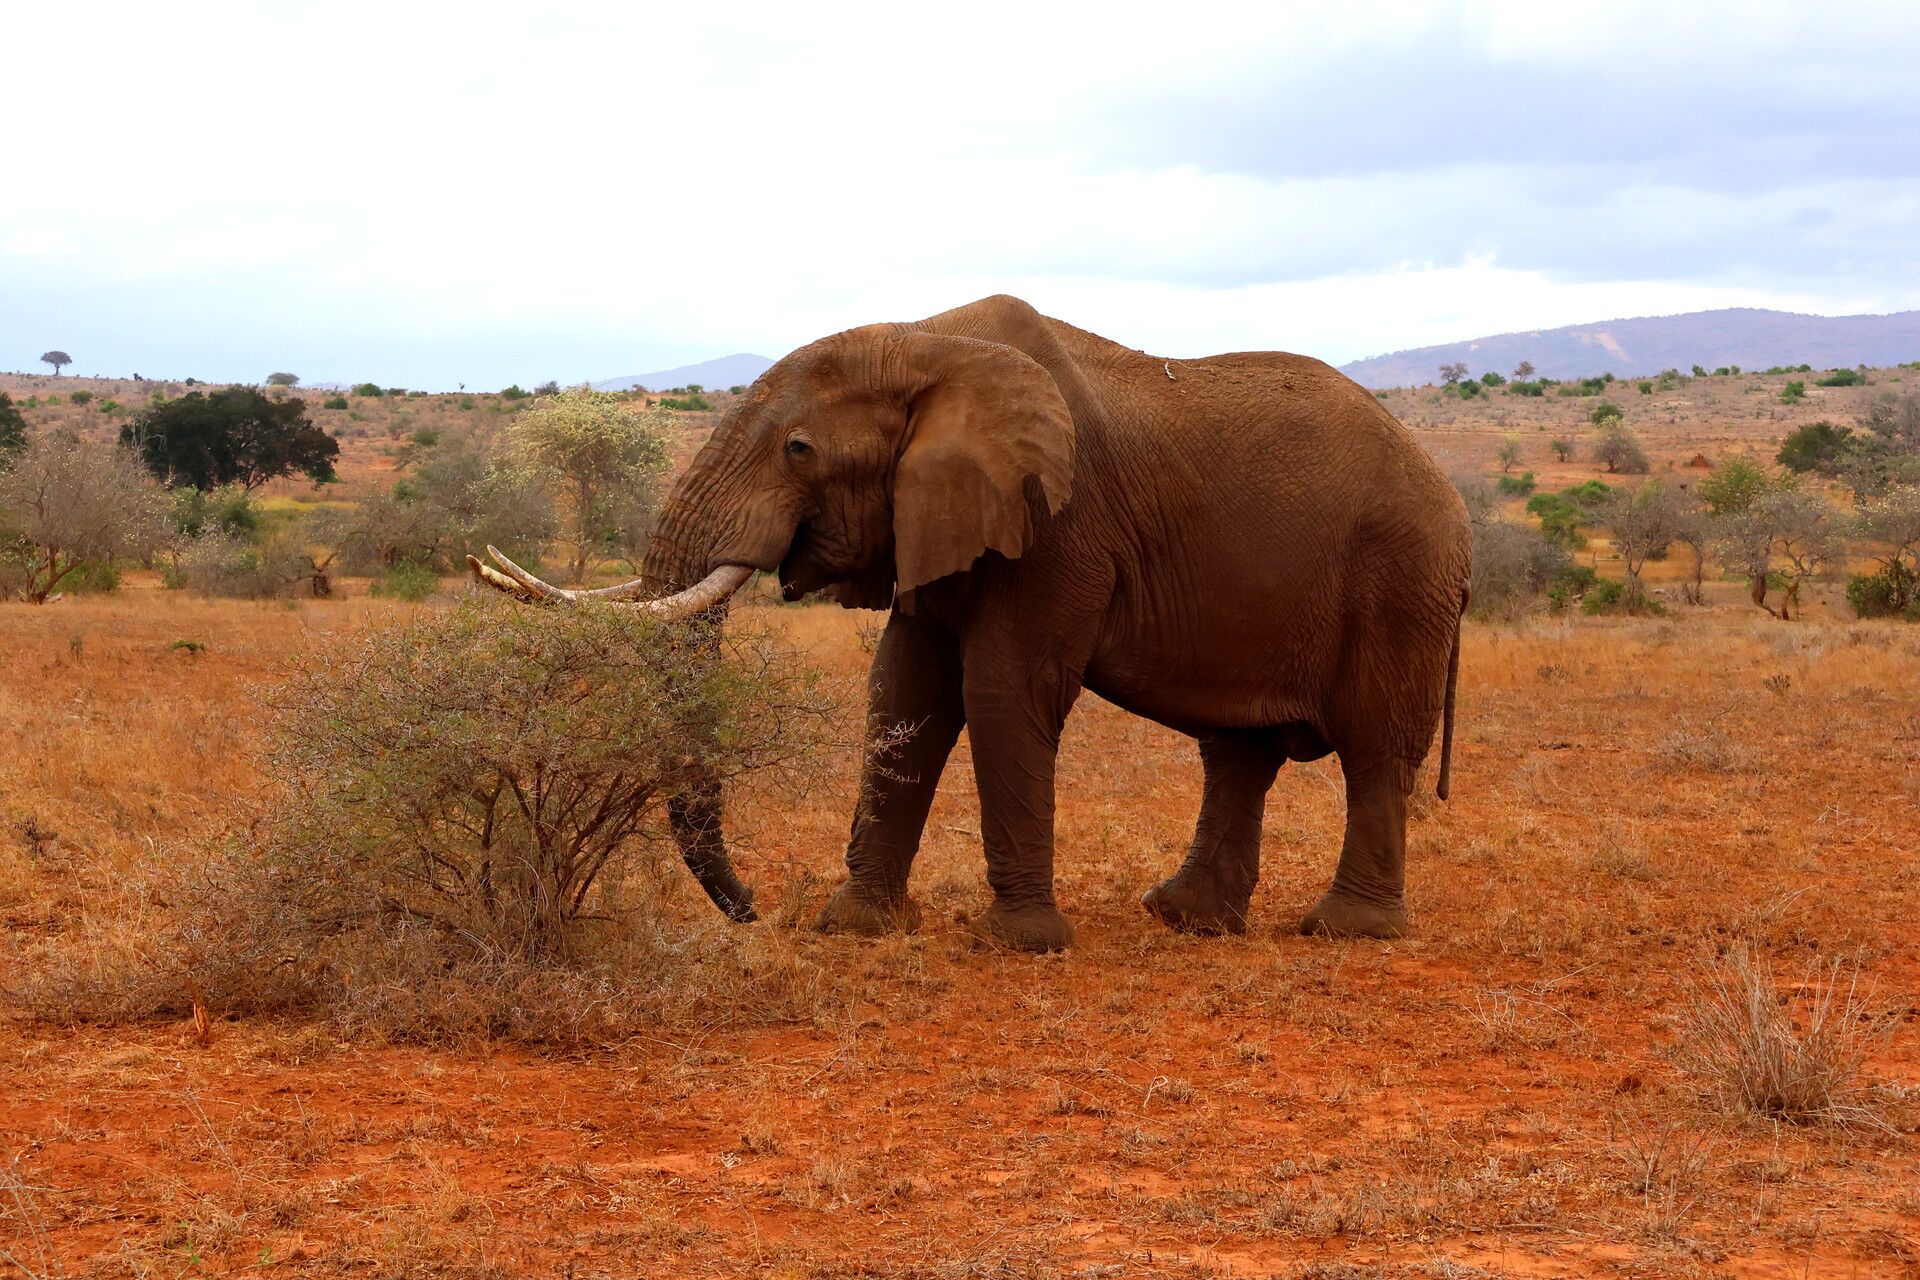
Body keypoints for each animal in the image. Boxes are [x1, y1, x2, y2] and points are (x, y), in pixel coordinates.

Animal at [472, 295, 1471, 952]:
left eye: (798, 450)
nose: (755, 910)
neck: (923, 343)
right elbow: (904, 691)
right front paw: (856, 927)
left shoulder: (1057, 522)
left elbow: (1000, 690)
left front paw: (1019, 943)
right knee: (1239, 754)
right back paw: (1183, 919)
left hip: (1404, 585)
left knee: (1375, 749)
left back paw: (1345, 932)